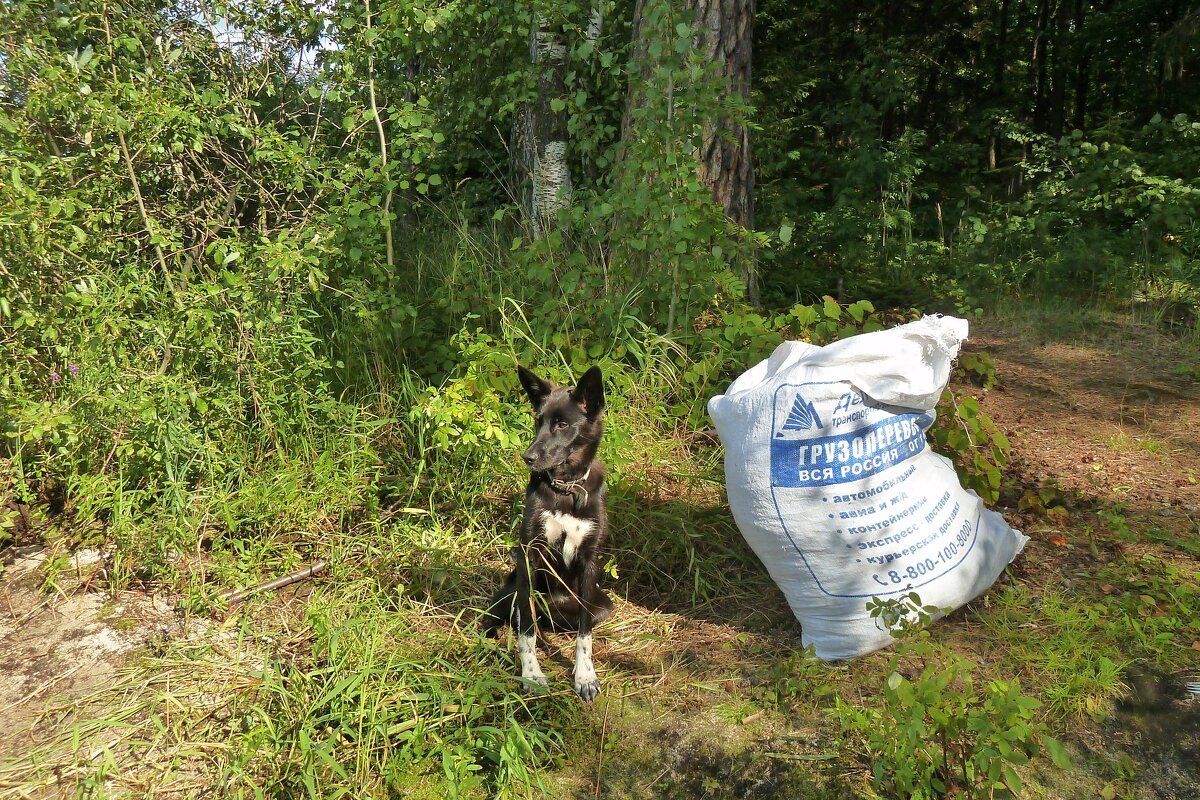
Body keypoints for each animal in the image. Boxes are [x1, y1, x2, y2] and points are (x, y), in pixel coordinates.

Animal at [480, 367, 614, 705]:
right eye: (538, 420)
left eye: (562, 424)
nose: (526, 457)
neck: (567, 489)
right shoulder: (530, 554)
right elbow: (526, 627)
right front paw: (531, 674)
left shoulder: (589, 560)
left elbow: (584, 633)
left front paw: (584, 675)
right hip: (509, 587)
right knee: (504, 616)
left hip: (602, 605)